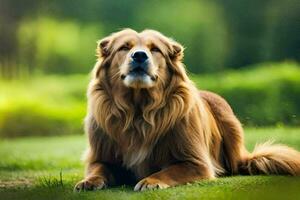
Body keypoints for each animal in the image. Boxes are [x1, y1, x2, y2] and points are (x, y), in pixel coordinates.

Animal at [74, 28, 300, 191]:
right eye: (124, 48)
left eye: (155, 49)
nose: (139, 56)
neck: (138, 110)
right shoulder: (100, 155)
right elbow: (97, 169)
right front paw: (89, 181)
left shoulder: (197, 163)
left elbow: (169, 171)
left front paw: (150, 181)